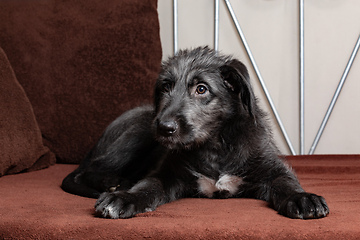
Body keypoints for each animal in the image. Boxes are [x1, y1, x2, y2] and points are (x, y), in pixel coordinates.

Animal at [62, 45, 330, 219]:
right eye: (166, 87)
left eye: (201, 89)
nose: (164, 128)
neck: (214, 145)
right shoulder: (167, 173)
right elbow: (147, 185)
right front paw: (125, 197)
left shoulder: (271, 169)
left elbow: (286, 182)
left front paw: (303, 198)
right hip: (136, 133)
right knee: (88, 170)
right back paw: (114, 184)